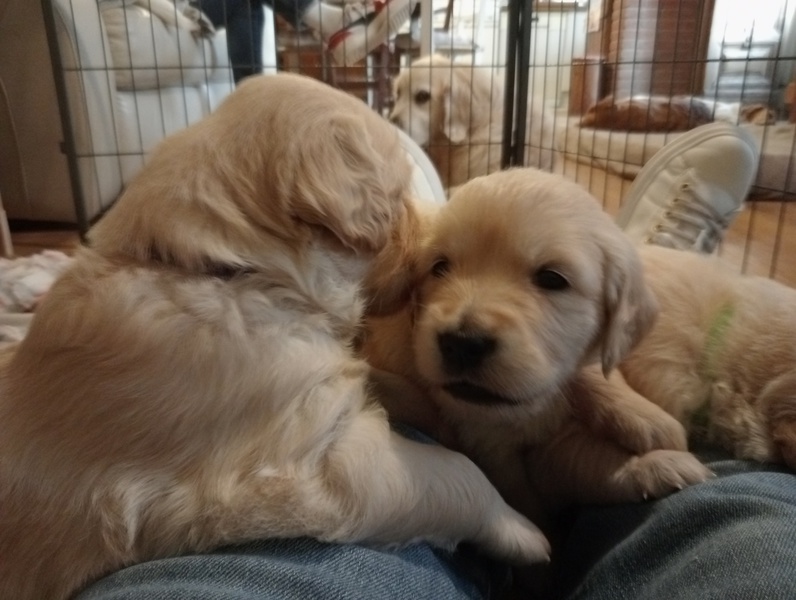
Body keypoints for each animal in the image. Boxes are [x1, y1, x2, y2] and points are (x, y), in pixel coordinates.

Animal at [0, 74, 550, 600]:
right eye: (396, 200)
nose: (437, 238)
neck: (229, 273)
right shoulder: (314, 462)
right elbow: (456, 475)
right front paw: (523, 530)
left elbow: (396, 388)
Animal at [363, 168, 711, 531]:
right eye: (440, 267)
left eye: (552, 278)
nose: (462, 343)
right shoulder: (490, 446)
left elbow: (586, 440)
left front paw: (647, 428)